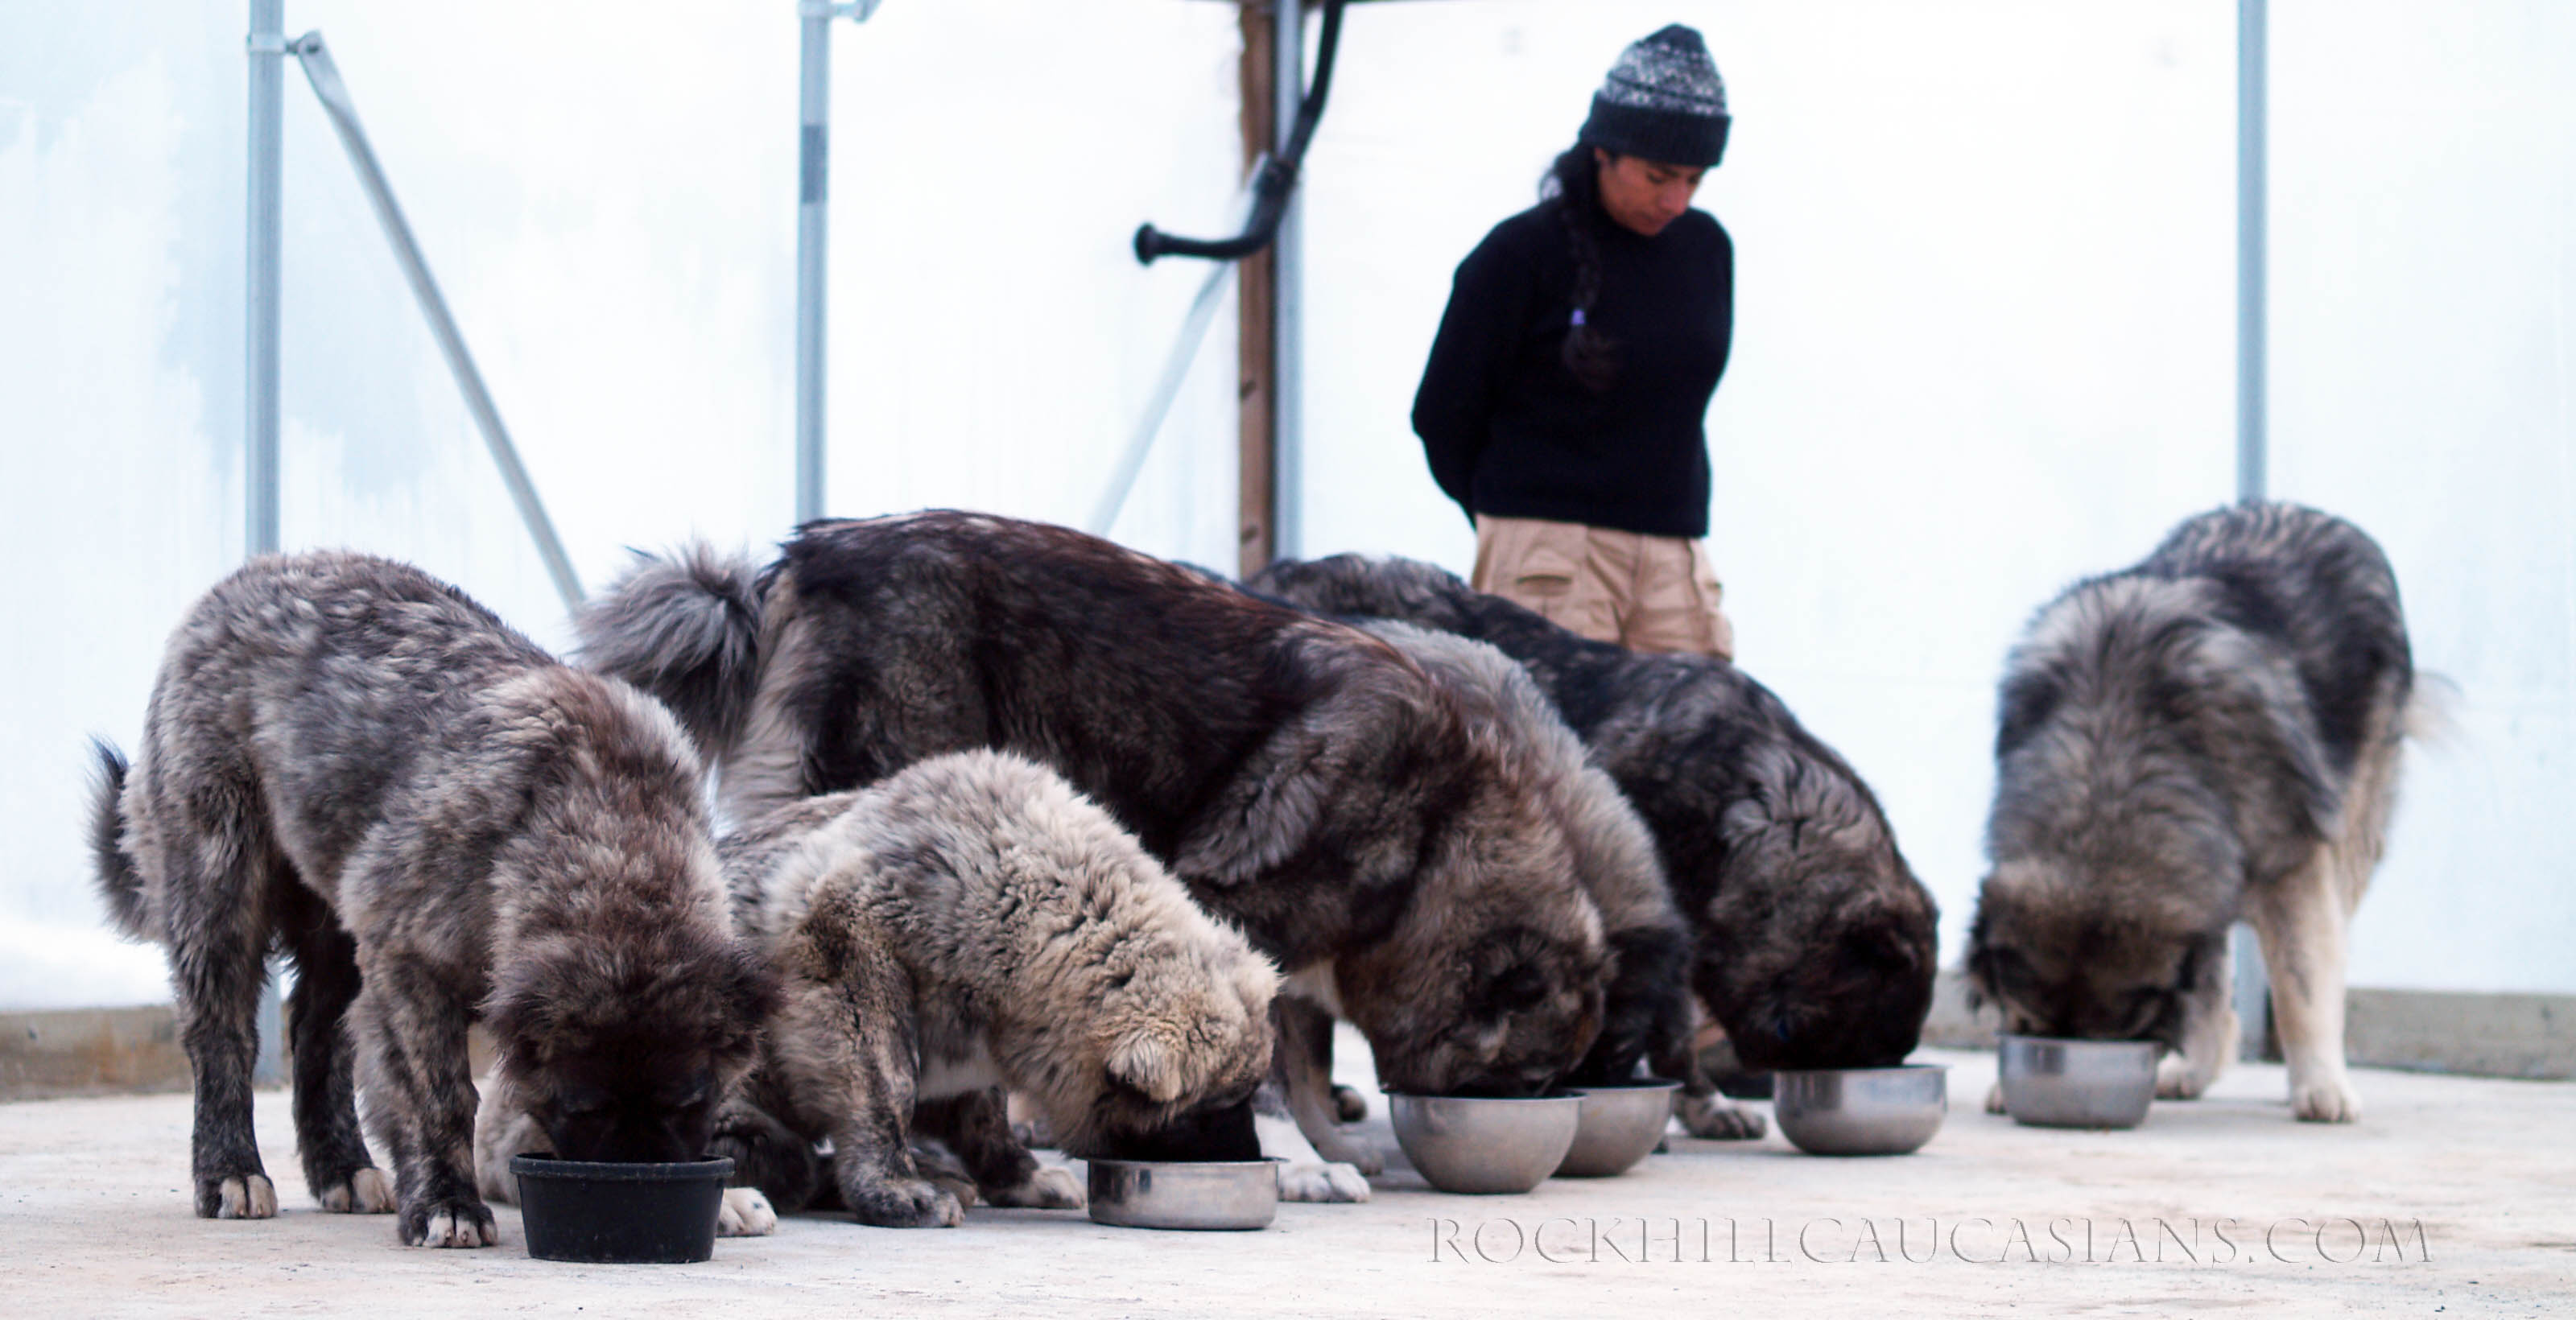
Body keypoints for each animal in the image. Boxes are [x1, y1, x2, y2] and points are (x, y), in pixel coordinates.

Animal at [93, 551, 773, 1242]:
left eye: (691, 1101)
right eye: (584, 1106)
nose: (638, 1184)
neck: (609, 831)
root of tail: (246, 578)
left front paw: (725, 1204)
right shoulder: (410, 966)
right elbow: (440, 1097)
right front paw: (449, 1202)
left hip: (336, 920)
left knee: (316, 1035)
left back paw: (343, 1169)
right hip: (220, 883)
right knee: (223, 1033)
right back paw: (230, 1172)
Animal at [479, 753, 1272, 1227]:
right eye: (1212, 1109)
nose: (1250, 1158)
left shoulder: (989, 1024)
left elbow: (982, 1108)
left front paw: (1015, 1174)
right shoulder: (845, 938)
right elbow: (882, 1081)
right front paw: (896, 1187)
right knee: (786, 1159)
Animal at [1967, 505, 2411, 1124]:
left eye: (2116, 1038)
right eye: (2028, 1023)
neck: (2112, 765)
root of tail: (2311, 514)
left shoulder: (2291, 870)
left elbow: (2301, 986)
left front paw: (2322, 1086)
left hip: (2351, 823)